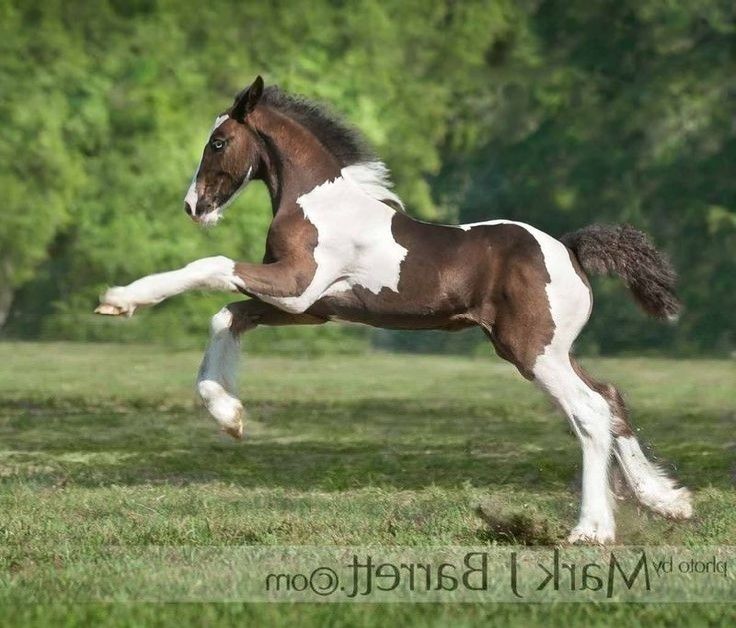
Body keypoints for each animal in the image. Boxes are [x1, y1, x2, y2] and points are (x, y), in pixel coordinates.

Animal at [96, 75, 688, 544]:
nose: (193, 206)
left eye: (218, 141)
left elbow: (211, 265)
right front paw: (229, 415)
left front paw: (121, 299)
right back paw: (667, 501)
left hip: (532, 351)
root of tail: (568, 248)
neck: (319, 202)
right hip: (551, 348)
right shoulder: (311, 306)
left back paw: (591, 530)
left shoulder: (296, 286)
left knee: (589, 411)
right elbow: (227, 315)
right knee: (610, 397)